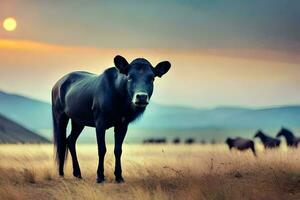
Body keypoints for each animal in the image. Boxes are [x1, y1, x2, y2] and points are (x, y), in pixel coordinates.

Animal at [50, 54, 170, 183]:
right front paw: (100, 176)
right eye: (129, 77)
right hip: (60, 116)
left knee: (70, 140)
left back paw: (77, 173)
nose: (141, 97)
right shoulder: (100, 123)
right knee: (61, 142)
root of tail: (56, 85)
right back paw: (61, 173)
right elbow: (102, 149)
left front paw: (119, 176)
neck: (120, 99)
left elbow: (118, 150)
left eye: (152, 78)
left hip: (78, 121)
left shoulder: (122, 124)